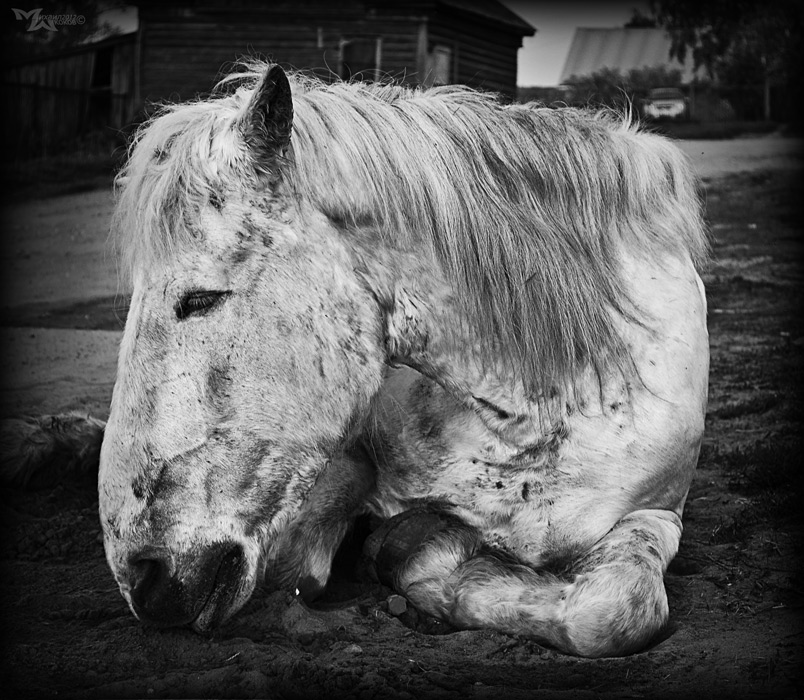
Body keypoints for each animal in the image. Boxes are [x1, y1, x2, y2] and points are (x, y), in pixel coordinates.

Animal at [6, 61, 710, 657]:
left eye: (199, 298)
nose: (141, 577)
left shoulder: (658, 513)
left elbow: (613, 610)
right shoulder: (333, 480)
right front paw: (411, 555)